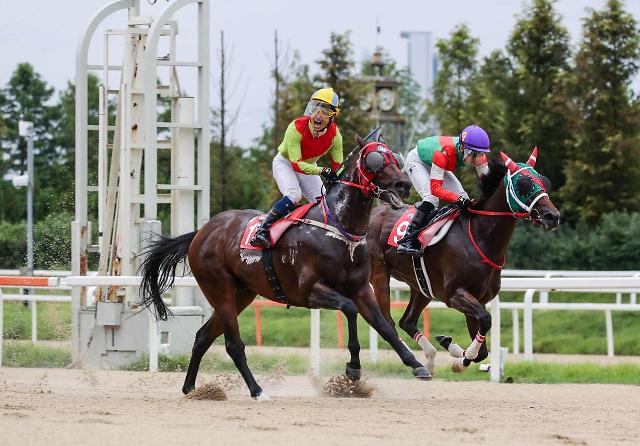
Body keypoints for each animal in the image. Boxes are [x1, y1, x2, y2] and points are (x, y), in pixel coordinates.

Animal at [139, 134, 430, 398]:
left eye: (395, 158)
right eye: (375, 160)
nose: (403, 184)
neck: (339, 229)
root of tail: (201, 232)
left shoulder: (361, 288)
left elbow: (383, 326)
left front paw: (416, 364)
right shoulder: (308, 291)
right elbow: (349, 309)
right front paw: (353, 368)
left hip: (242, 294)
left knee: (202, 336)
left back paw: (190, 387)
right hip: (218, 289)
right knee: (233, 345)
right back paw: (257, 390)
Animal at [364, 149, 560, 372]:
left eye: (544, 181)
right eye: (524, 184)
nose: (552, 216)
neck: (479, 237)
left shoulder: (477, 298)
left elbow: (482, 349)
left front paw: (455, 351)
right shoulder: (454, 294)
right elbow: (486, 319)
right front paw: (459, 356)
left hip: (421, 286)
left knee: (407, 321)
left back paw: (430, 356)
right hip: (379, 273)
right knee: (387, 322)